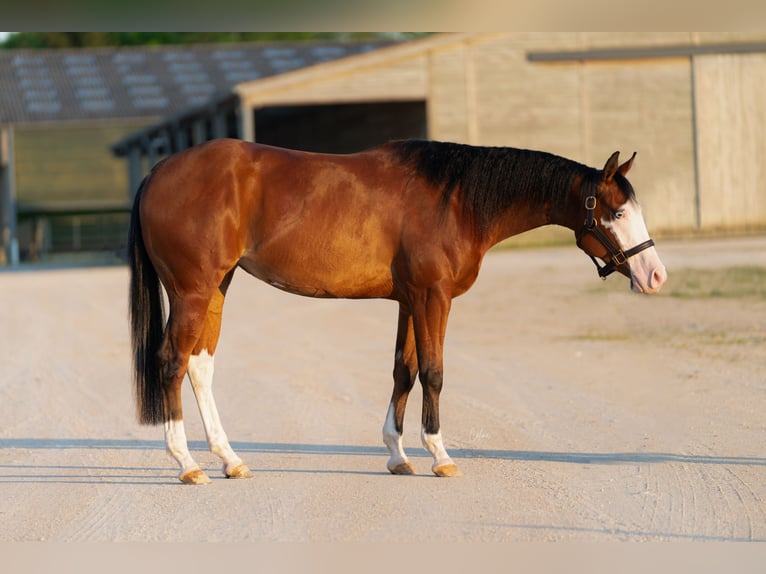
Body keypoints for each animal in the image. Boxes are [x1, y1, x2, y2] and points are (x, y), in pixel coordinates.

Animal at [128, 138, 667, 484]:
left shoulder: (410, 301)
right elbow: (433, 371)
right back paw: (187, 464)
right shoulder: (433, 297)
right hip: (192, 290)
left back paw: (229, 459)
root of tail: (158, 172)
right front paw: (439, 454)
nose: (656, 275)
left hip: (217, 287)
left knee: (200, 367)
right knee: (172, 363)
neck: (456, 199)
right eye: (617, 212)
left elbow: (402, 371)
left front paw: (397, 454)